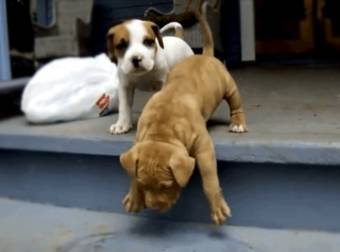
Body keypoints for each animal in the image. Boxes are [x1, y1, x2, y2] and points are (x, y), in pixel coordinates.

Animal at [119, 4, 247, 224]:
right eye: (144, 185)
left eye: (167, 186)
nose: (154, 208)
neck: (161, 130)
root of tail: (205, 54)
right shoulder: (139, 142)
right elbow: (133, 172)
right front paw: (134, 197)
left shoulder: (203, 147)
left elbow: (209, 178)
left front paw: (217, 206)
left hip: (229, 87)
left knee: (235, 104)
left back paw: (238, 123)